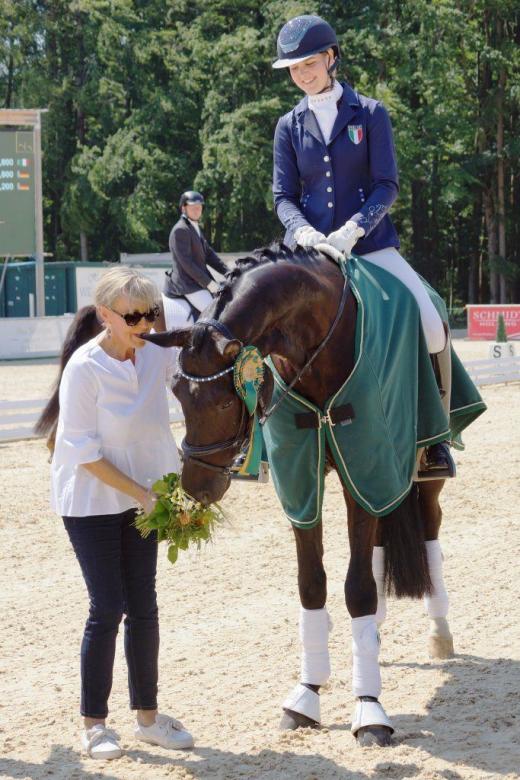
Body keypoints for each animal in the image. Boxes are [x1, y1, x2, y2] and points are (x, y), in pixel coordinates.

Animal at [143, 244, 461, 747]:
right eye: (175, 391)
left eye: (222, 400)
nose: (196, 486)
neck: (323, 341)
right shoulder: (304, 485)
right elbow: (313, 584)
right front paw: (307, 696)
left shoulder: (363, 465)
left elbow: (357, 589)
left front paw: (369, 710)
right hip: (379, 480)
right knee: (378, 545)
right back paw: (376, 636)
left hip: (417, 472)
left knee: (429, 535)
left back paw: (438, 630)